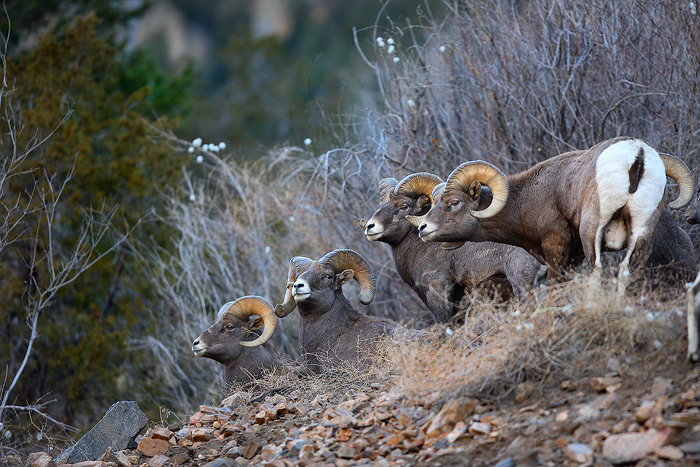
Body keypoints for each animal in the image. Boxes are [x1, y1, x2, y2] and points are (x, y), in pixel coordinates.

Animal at [415, 137, 694, 292]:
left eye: (454, 203)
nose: (422, 229)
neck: (528, 200)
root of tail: (638, 155)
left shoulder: (555, 247)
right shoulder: (572, 258)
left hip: (592, 230)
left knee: (597, 271)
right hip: (640, 232)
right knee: (625, 271)